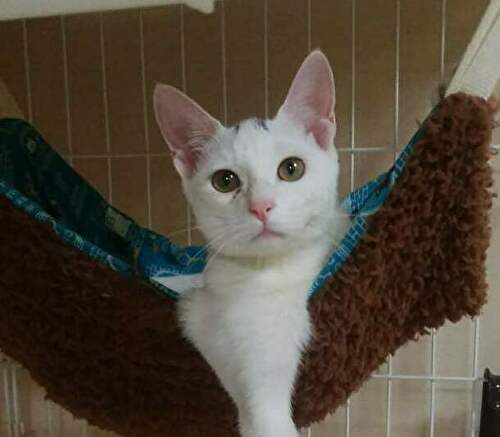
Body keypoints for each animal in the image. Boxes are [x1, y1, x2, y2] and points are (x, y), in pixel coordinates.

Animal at [153, 50, 349, 437]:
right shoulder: (223, 328)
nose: (261, 207)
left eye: (292, 168)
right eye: (225, 181)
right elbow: (265, 413)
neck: (280, 270)